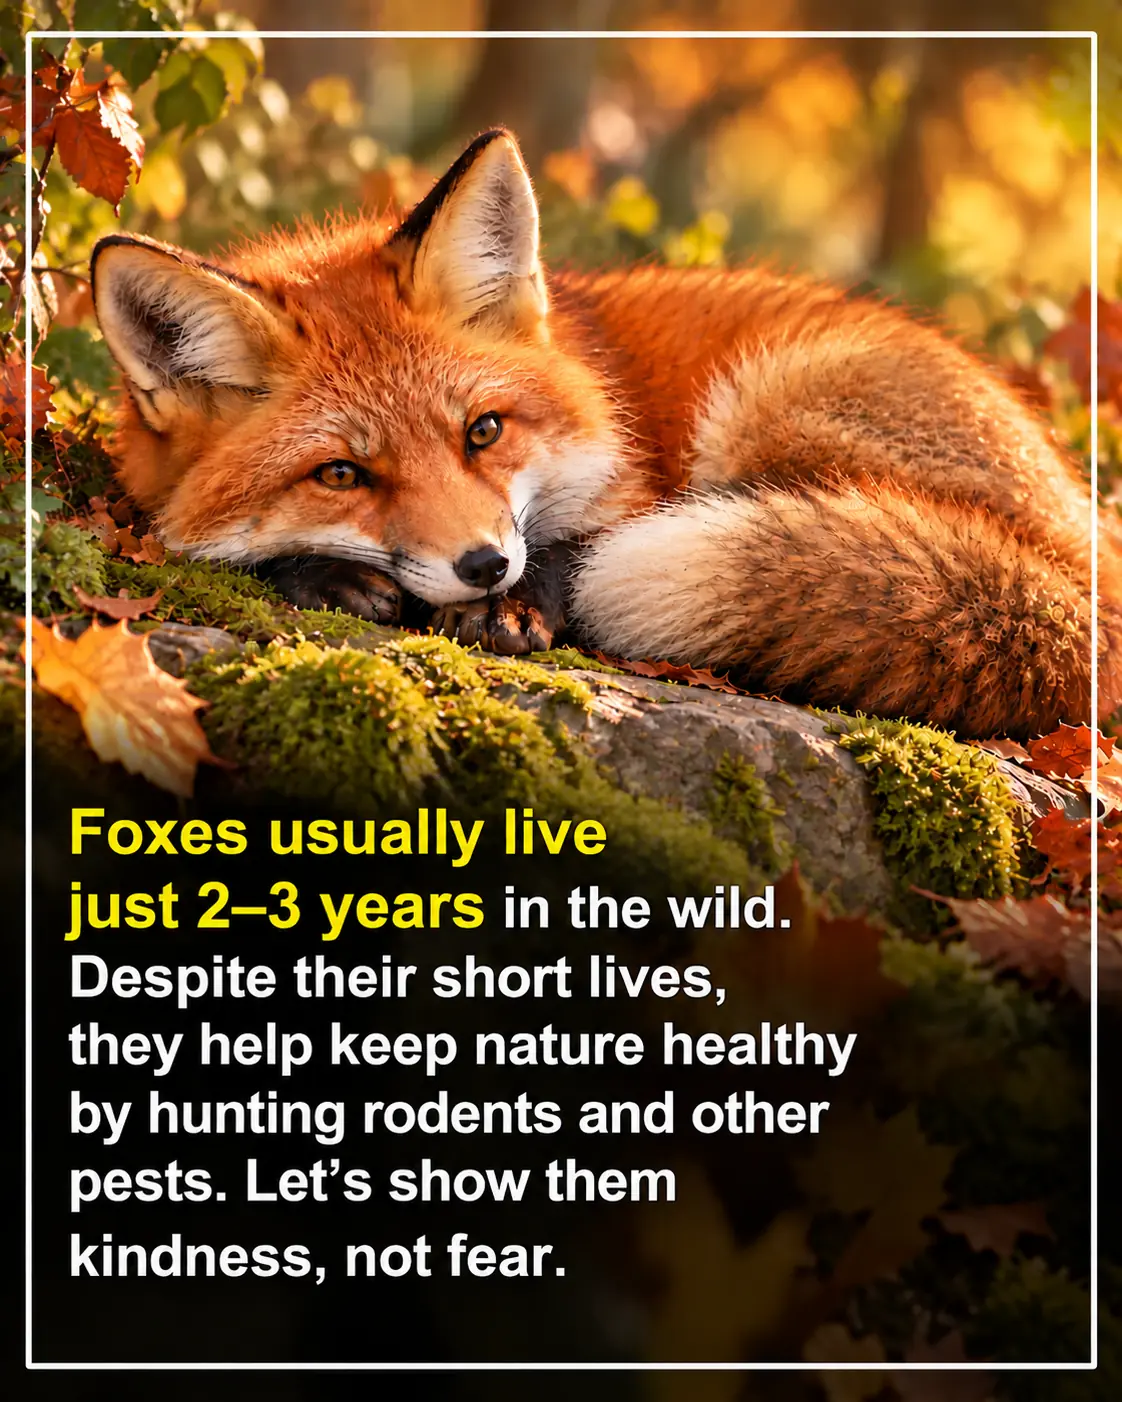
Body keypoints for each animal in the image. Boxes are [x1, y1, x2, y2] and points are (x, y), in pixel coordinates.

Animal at [90, 128, 1122, 739]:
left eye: (483, 432)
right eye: (341, 475)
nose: (482, 567)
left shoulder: (632, 490)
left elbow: (583, 542)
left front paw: (522, 600)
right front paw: (327, 574)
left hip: (761, 410)